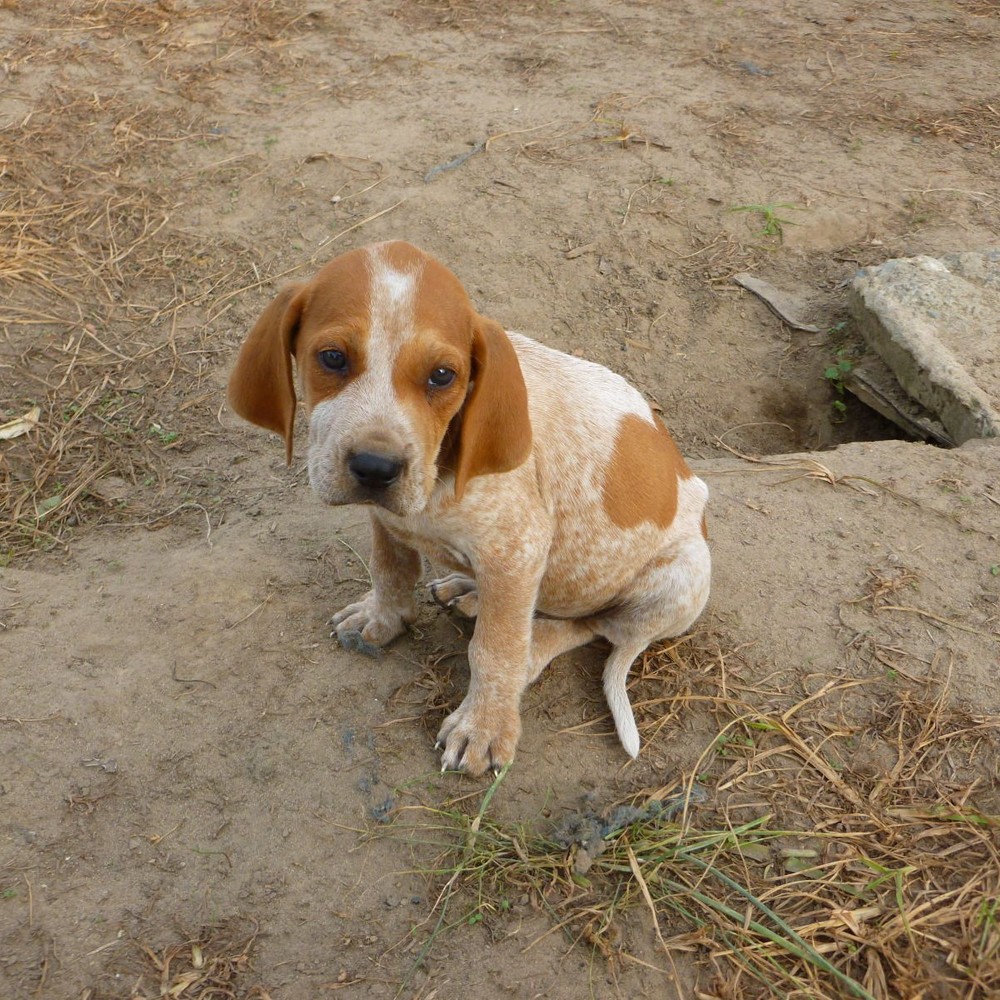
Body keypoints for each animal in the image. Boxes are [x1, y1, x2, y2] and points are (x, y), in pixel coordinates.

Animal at [227, 240, 712, 772]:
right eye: (332, 358)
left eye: (442, 376)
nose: (376, 468)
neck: (442, 470)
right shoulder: (389, 517)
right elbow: (390, 568)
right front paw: (383, 616)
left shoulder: (518, 549)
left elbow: (495, 649)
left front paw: (483, 726)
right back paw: (468, 590)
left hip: (680, 578)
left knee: (595, 626)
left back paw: (533, 645)